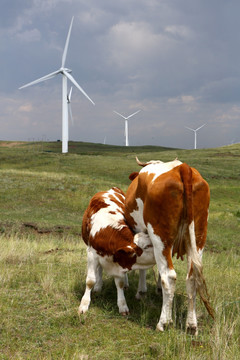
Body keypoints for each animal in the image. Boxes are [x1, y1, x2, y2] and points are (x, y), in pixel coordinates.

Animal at [78, 187, 155, 316]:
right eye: (147, 246)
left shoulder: (120, 260)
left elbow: (120, 283)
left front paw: (123, 306)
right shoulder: (92, 254)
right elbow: (90, 280)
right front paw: (84, 305)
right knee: (99, 270)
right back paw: (98, 286)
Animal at [124, 158, 215, 334]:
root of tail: (182, 168)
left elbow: (144, 267)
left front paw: (141, 292)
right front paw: (158, 289)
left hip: (161, 237)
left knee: (170, 275)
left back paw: (163, 322)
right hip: (198, 238)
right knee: (192, 278)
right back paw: (191, 325)